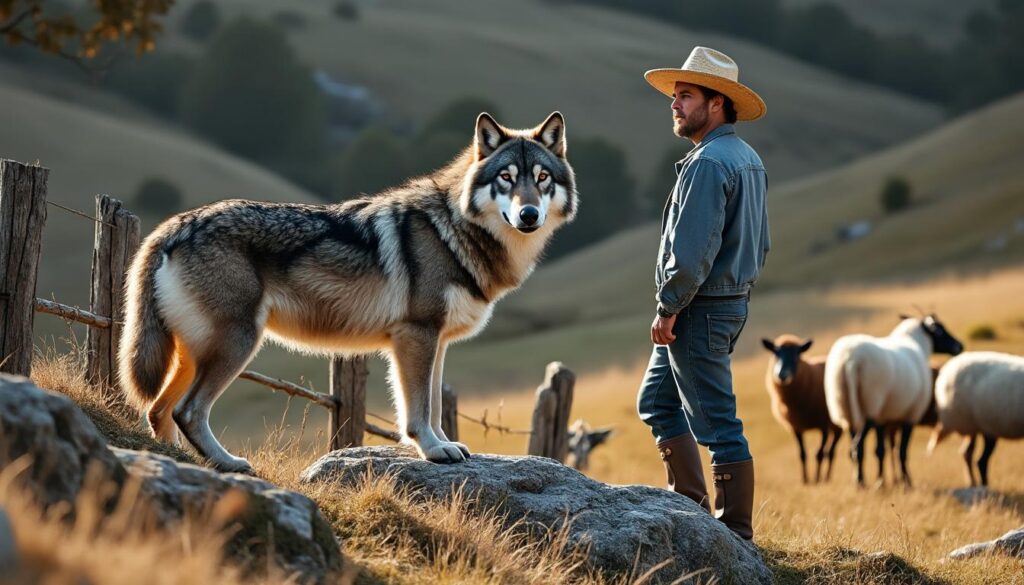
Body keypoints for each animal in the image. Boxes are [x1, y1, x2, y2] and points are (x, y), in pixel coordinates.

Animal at [117, 112, 577, 472]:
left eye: (541, 179)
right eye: (506, 178)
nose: (528, 215)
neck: (455, 230)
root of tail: (174, 225)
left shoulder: (436, 342)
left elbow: (432, 403)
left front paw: (444, 444)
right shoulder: (417, 335)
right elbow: (419, 410)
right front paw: (433, 450)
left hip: (195, 354)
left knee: (158, 410)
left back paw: (174, 462)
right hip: (238, 343)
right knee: (187, 411)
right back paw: (227, 463)